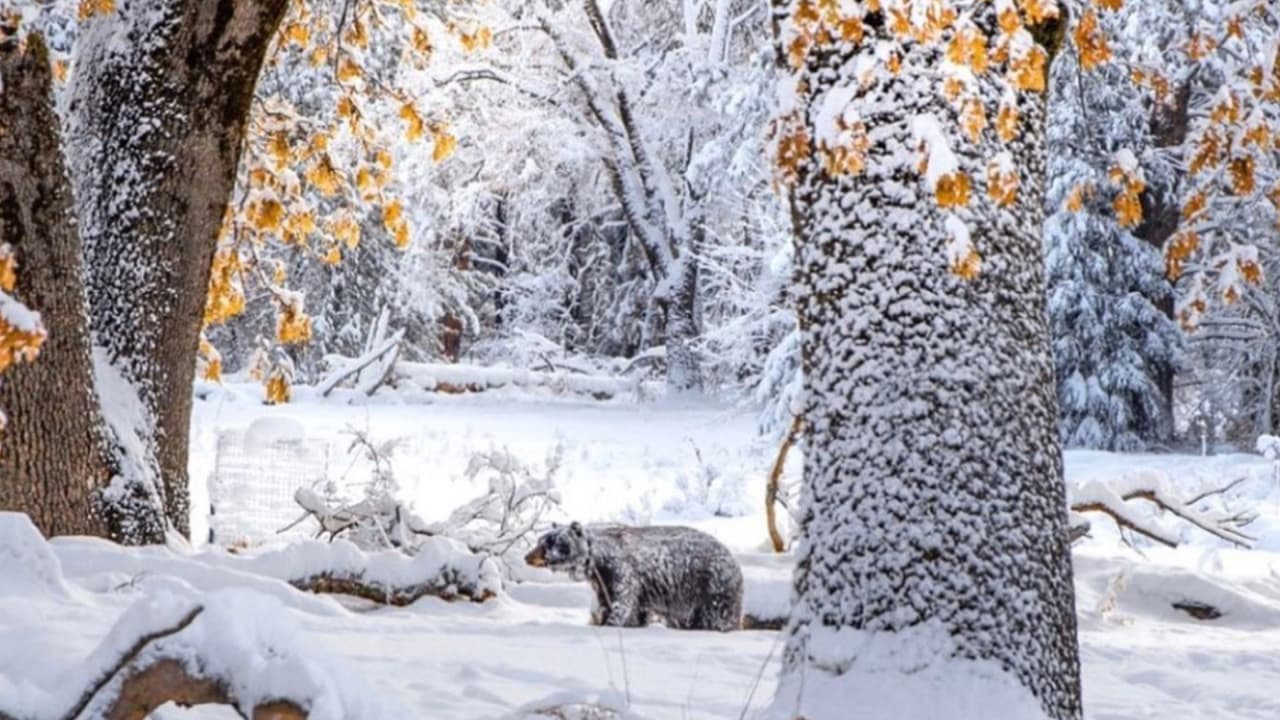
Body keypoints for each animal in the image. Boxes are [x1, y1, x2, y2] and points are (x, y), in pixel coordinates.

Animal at [524, 522, 743, 632]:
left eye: (549, 543)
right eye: (540, 540)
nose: (527, 556)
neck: (595, 563)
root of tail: (733, 560)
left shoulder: (621, 572)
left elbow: (623, 603)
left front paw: (611, 623)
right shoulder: (602, 584)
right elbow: (623, 609)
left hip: (710, 588)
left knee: (716, 616)